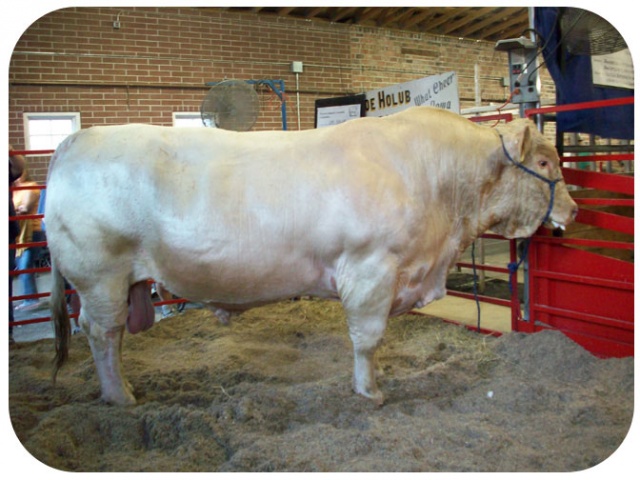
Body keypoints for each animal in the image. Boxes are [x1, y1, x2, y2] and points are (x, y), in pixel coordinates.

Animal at [46, 107, 577, 406]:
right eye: (545, 161)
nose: (573, 209)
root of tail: (76, 139)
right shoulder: (371, 269)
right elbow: (368, 339)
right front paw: (370, 392)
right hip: (100, 275)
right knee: (101, 334)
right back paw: (121, 396)